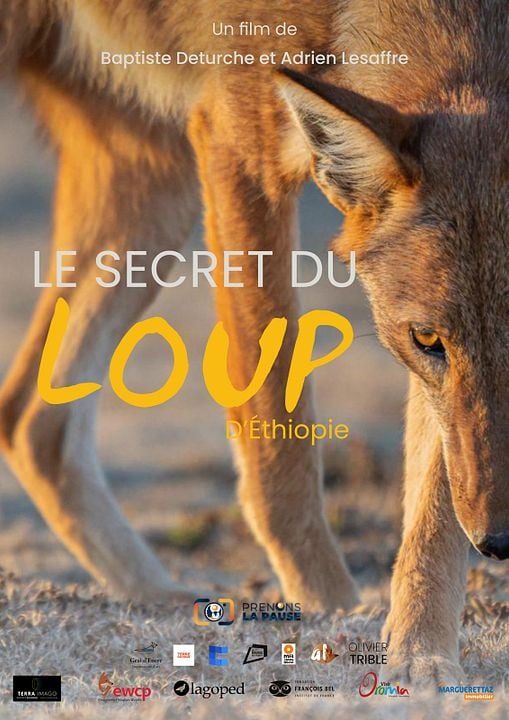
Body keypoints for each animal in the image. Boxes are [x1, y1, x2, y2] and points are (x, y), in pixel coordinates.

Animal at [0, 0, 508, 683]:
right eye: (427, 338)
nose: (499, 541)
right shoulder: (238, 142)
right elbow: (278, 444)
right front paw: (330, 612)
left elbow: (434, 499)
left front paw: (420, 654)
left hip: (157, 191)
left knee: (32, 424)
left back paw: (160, 599)